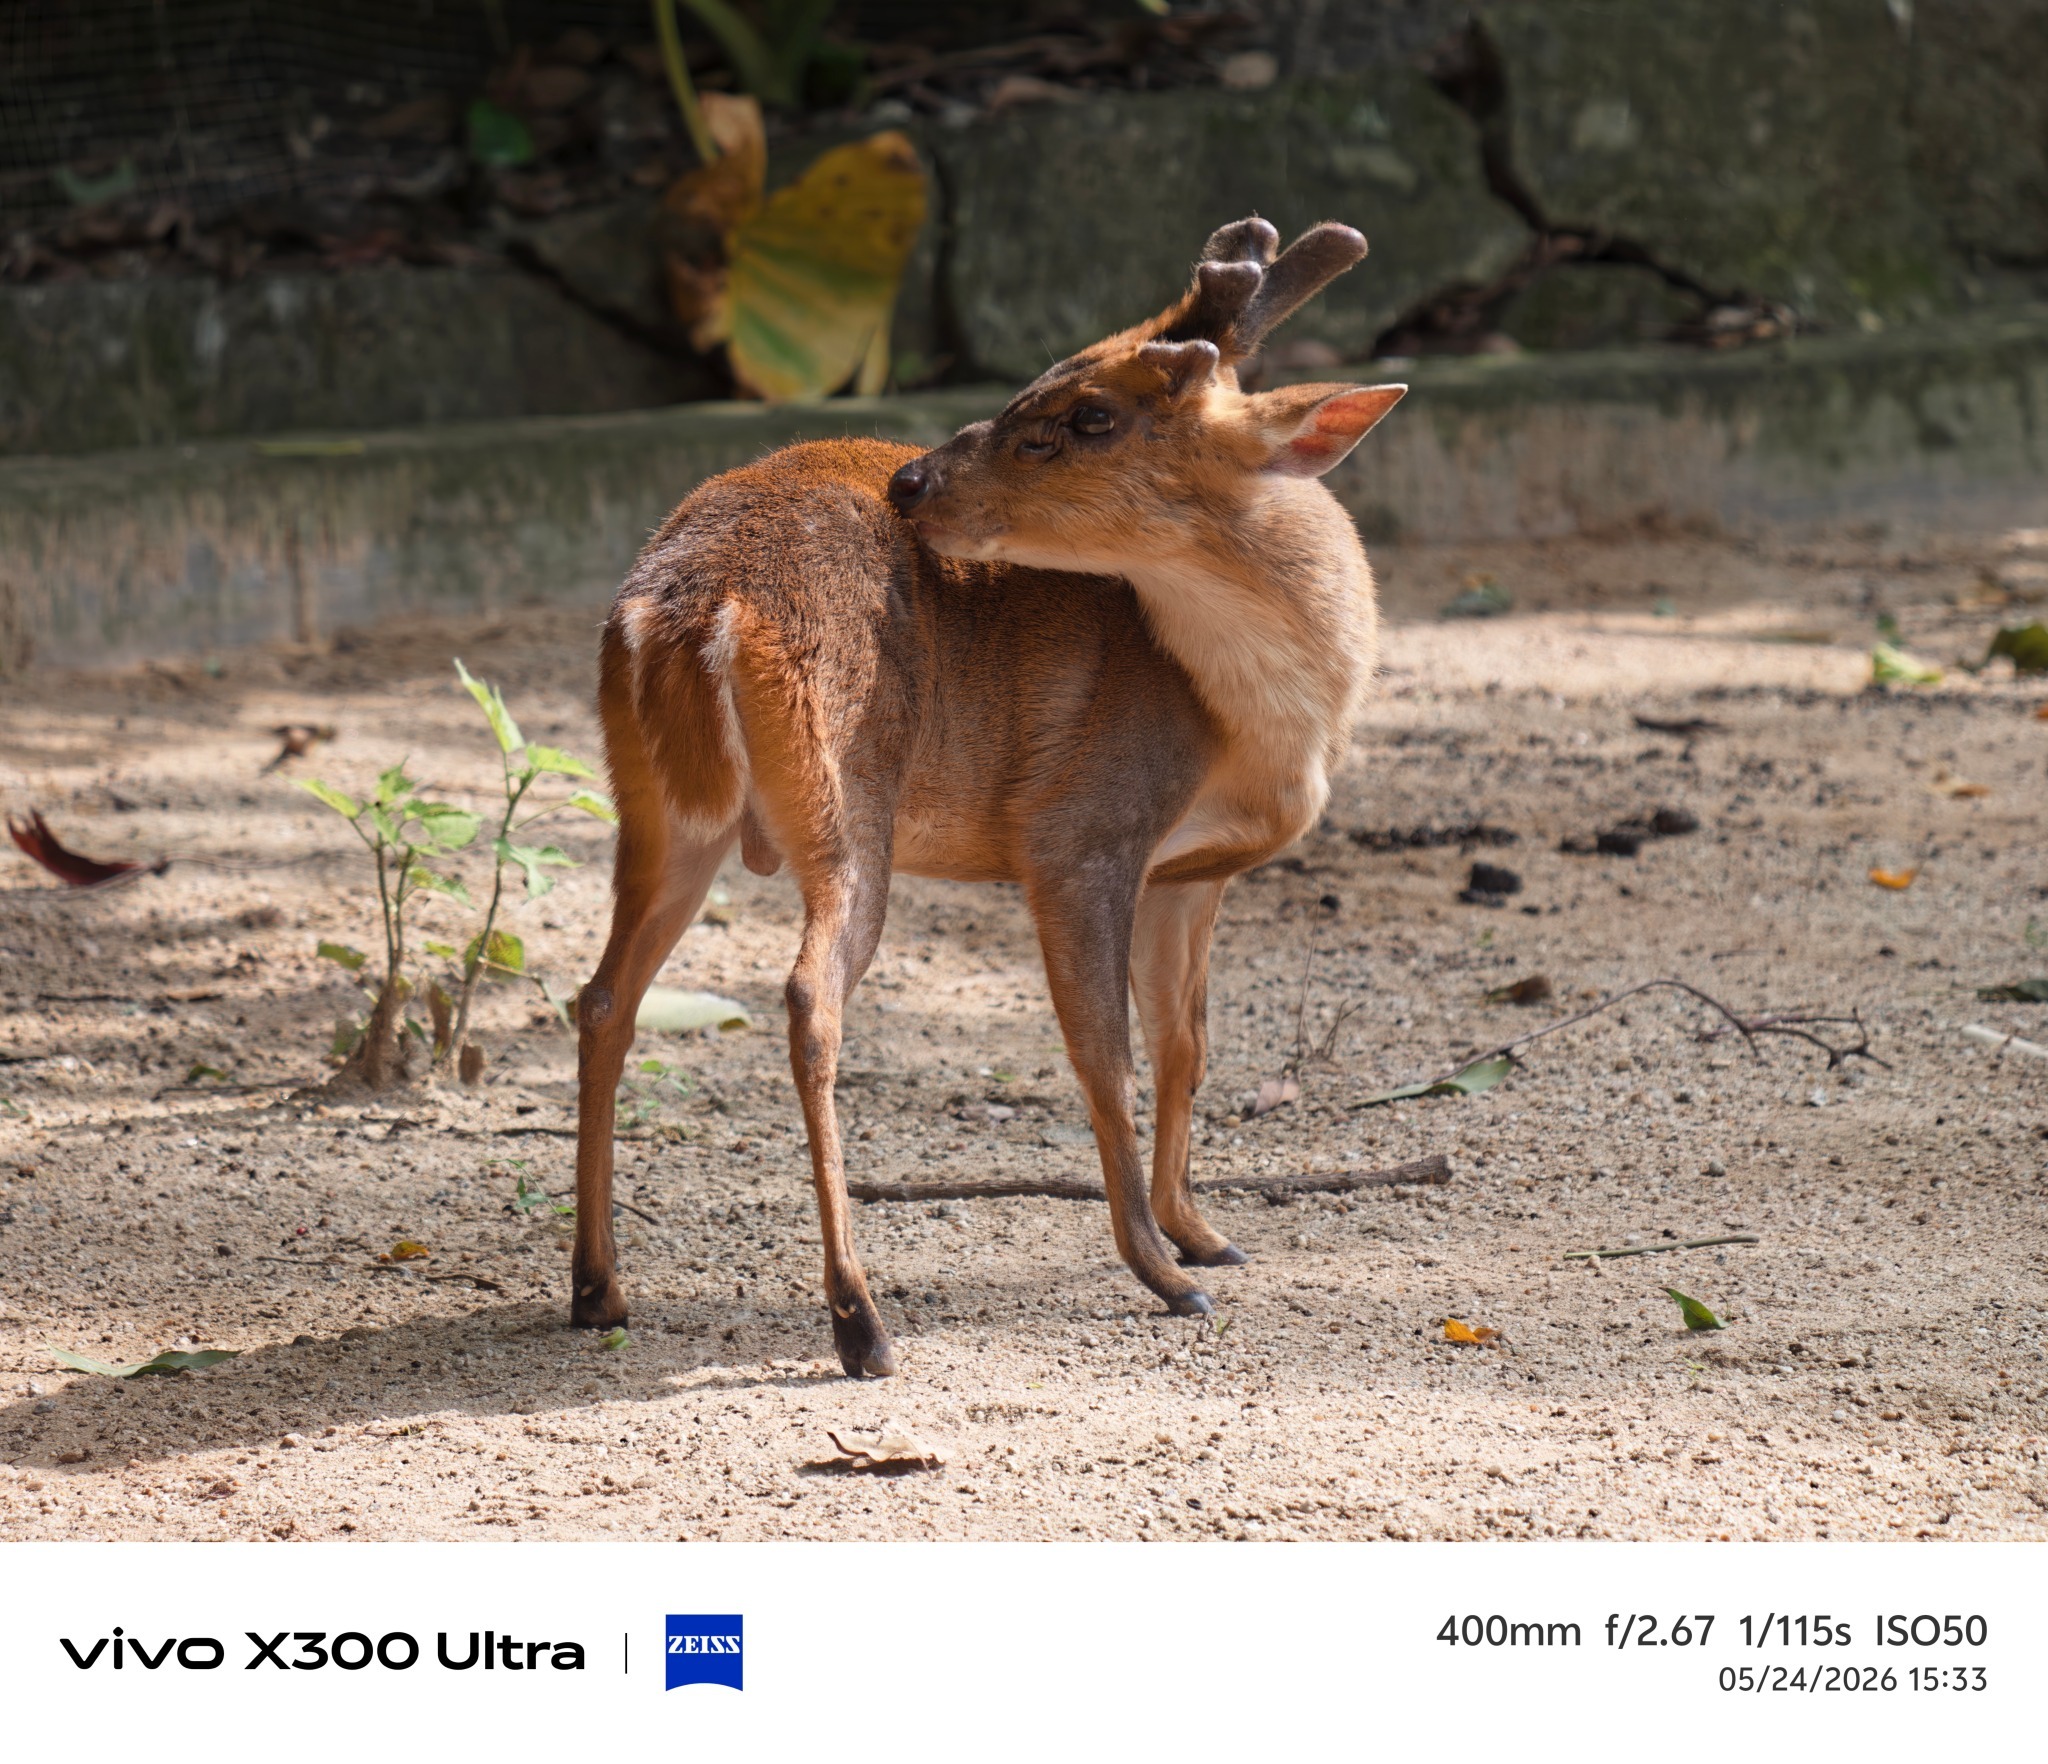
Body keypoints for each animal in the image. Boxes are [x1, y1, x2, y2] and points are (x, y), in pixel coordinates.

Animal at [573, 215, 1405, 1377]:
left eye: (1088, 413)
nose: (913, 481)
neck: (1251, 727)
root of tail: (692, 604)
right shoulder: (1077, 831)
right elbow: (1105, 1053)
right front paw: (1163, 1272)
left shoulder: (1191, 871)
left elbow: (1186, 1044)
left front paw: (1200, 1234)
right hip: (846, 796)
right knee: (808, 999)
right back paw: (859, 1321)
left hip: (654, 812)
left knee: (604, 997)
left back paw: (597, 1288)